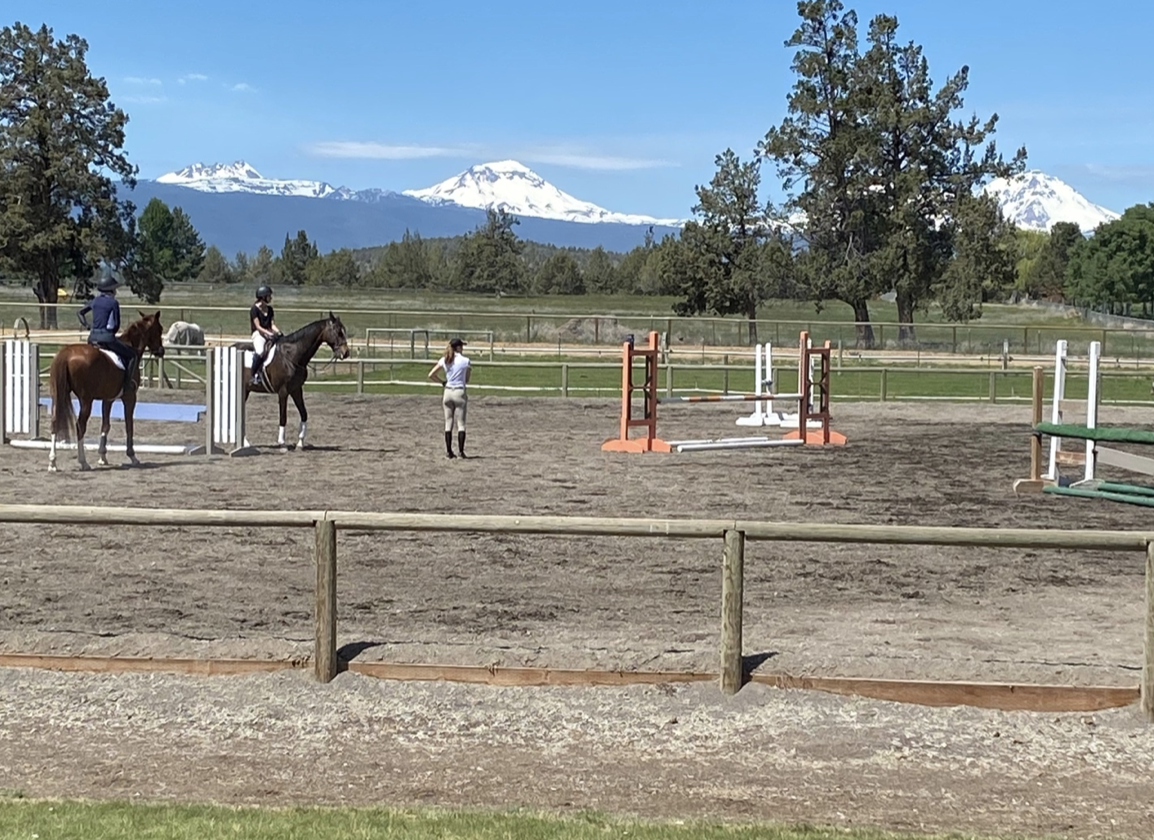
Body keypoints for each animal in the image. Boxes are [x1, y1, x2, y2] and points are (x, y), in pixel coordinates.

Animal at [47, 309, 167, 473]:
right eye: (159, 329)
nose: (161, 351)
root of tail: (66, 353)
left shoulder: (108, 399)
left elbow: (106, 425)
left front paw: (102, 457)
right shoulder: (130, 398)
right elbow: (129, 425)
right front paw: (132, 456)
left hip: (56, 395)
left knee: (54, 421)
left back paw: (52, 463)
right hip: (86, 400)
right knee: (80, 426)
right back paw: (83, 462)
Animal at [245, 311, 348, 450]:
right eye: (338, 332)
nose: (346, 353)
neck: (292, 355)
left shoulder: (296, 389)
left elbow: (304, 413)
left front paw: (300, 443)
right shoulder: (283, 392)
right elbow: (283, 416)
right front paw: (282, 444)